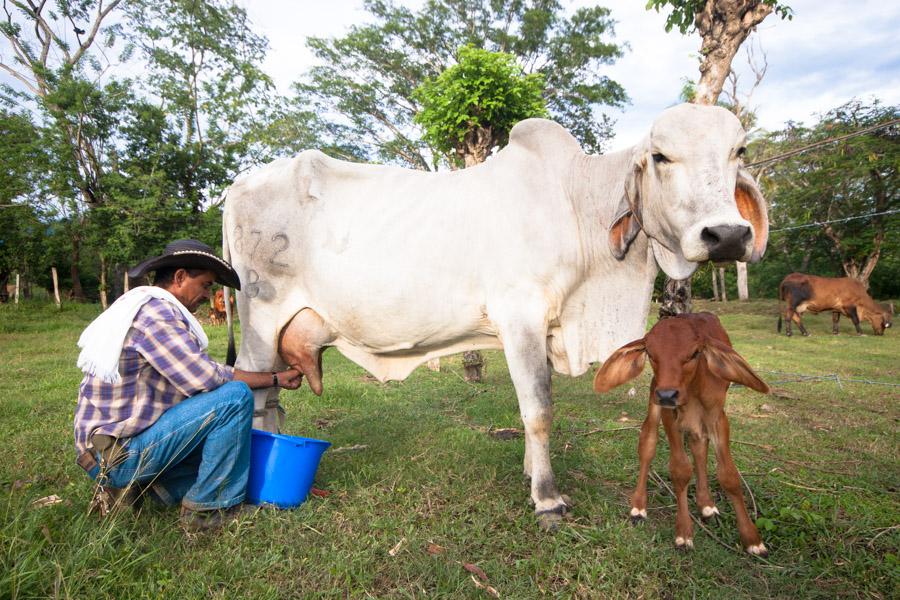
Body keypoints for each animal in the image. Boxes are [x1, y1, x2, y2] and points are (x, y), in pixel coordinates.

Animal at [221, 104, 768, 528]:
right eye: (660, 156)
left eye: (737, 152)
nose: (727, 234)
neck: (576, 204)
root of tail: (239, 184)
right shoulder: (520, 314)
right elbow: (539, 410)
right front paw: (547, 499)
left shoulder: (545, 328)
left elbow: (539, 408)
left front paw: (530, 473)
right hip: (260, 317)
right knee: (254, 391)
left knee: (271, 399)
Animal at [596, 312, 768, 556]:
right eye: (650, 353)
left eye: (695, 353)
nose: (667, 394)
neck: (693, 390)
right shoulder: (670, 415)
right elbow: (680, 470)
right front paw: (684, 533)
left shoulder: (718, 418)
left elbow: (729, 476)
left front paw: (752, 539)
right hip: (654, 403)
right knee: (647, 444)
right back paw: (639, 506)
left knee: (699, 447)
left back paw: (706, 505)